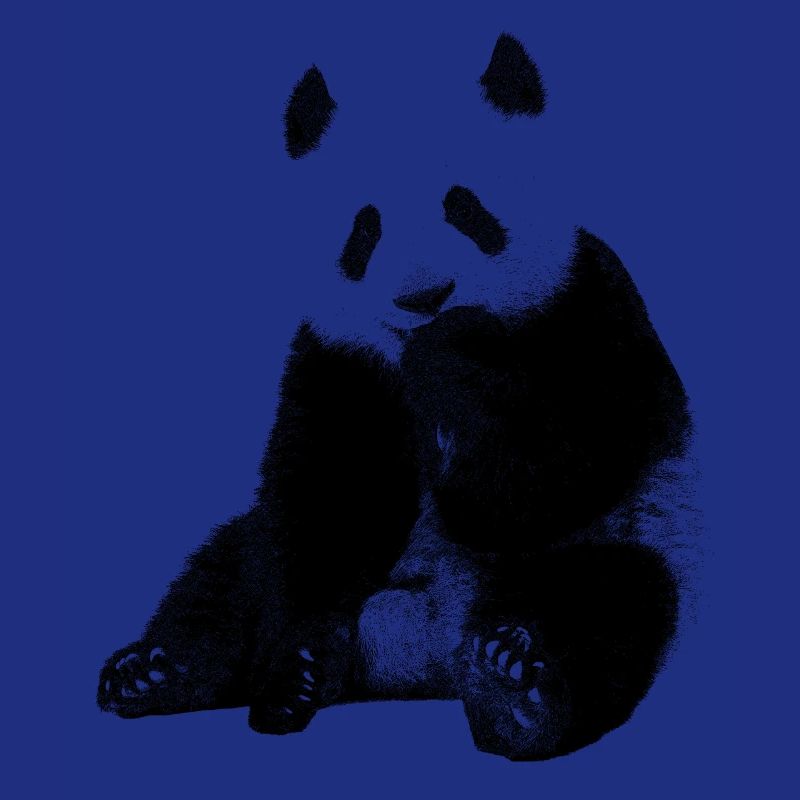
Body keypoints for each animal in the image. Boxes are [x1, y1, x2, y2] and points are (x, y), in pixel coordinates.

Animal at [97, 32, 695, 761]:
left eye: (466, 208)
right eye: (365, 228)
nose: (424, 297)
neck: (407, 369)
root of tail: (423, 652)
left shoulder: (586, 305)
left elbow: (550, 474)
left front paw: (453, 358)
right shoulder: (338, 360)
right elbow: (325, 500)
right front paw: (293, 675)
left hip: (634, 539)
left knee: (609, 602)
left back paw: (515, 690)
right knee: (226, 572)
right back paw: (156, 672)